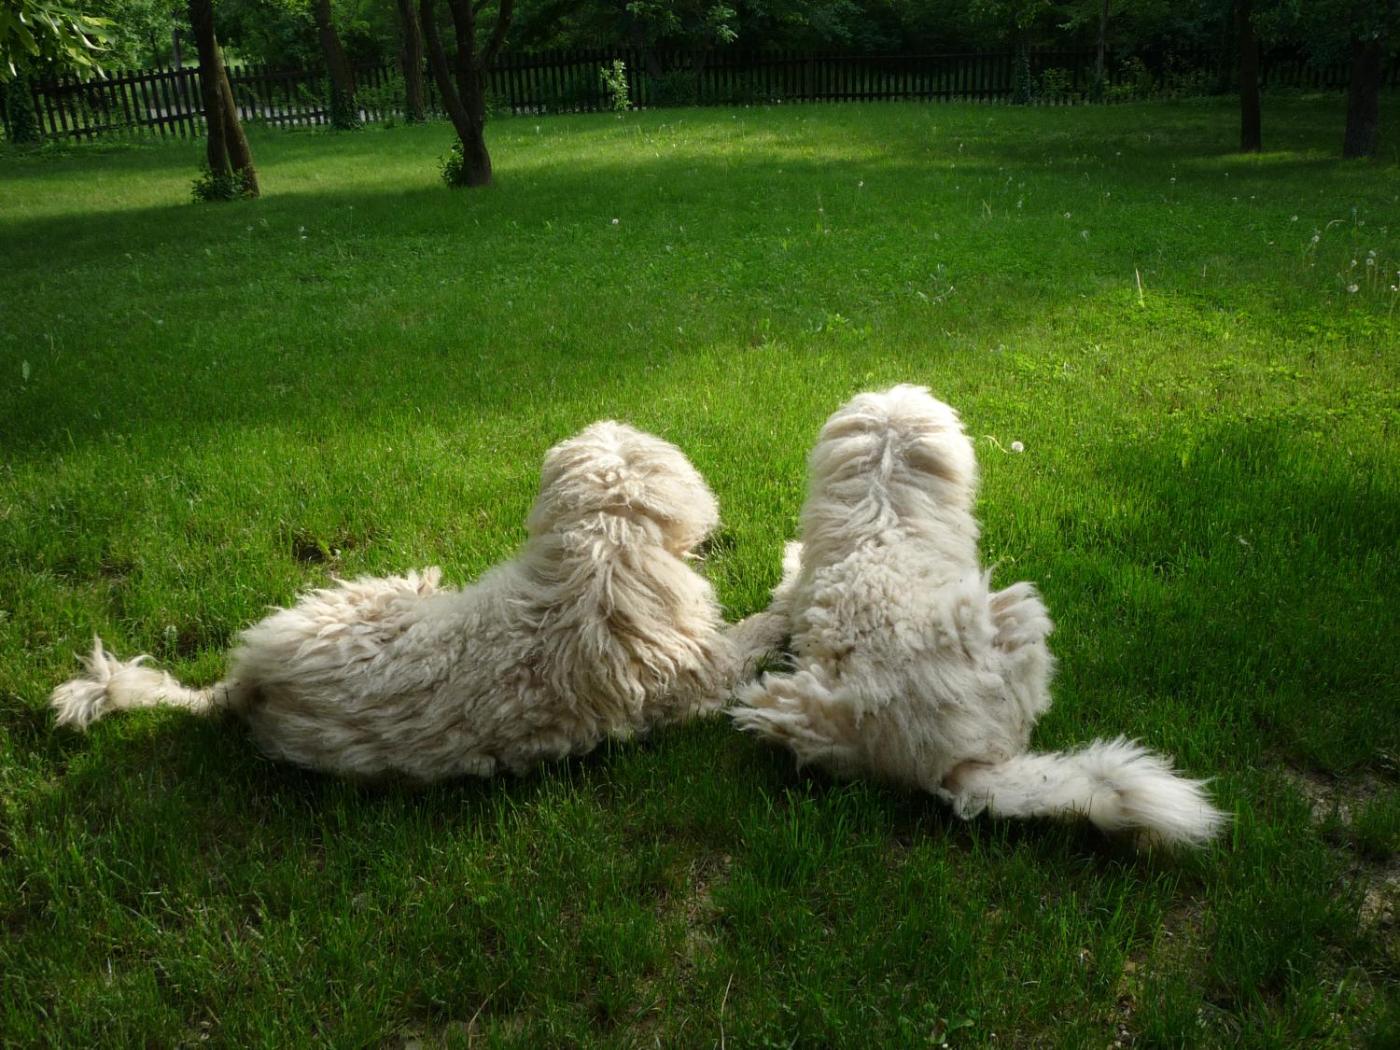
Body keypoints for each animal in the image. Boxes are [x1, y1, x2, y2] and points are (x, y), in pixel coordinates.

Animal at [51, 421, 789, 780]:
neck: (601, 553)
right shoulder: (703, 674)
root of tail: (246, 685)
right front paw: (782, 610)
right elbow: (750, 635)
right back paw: (428, 578)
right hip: (357, 596)